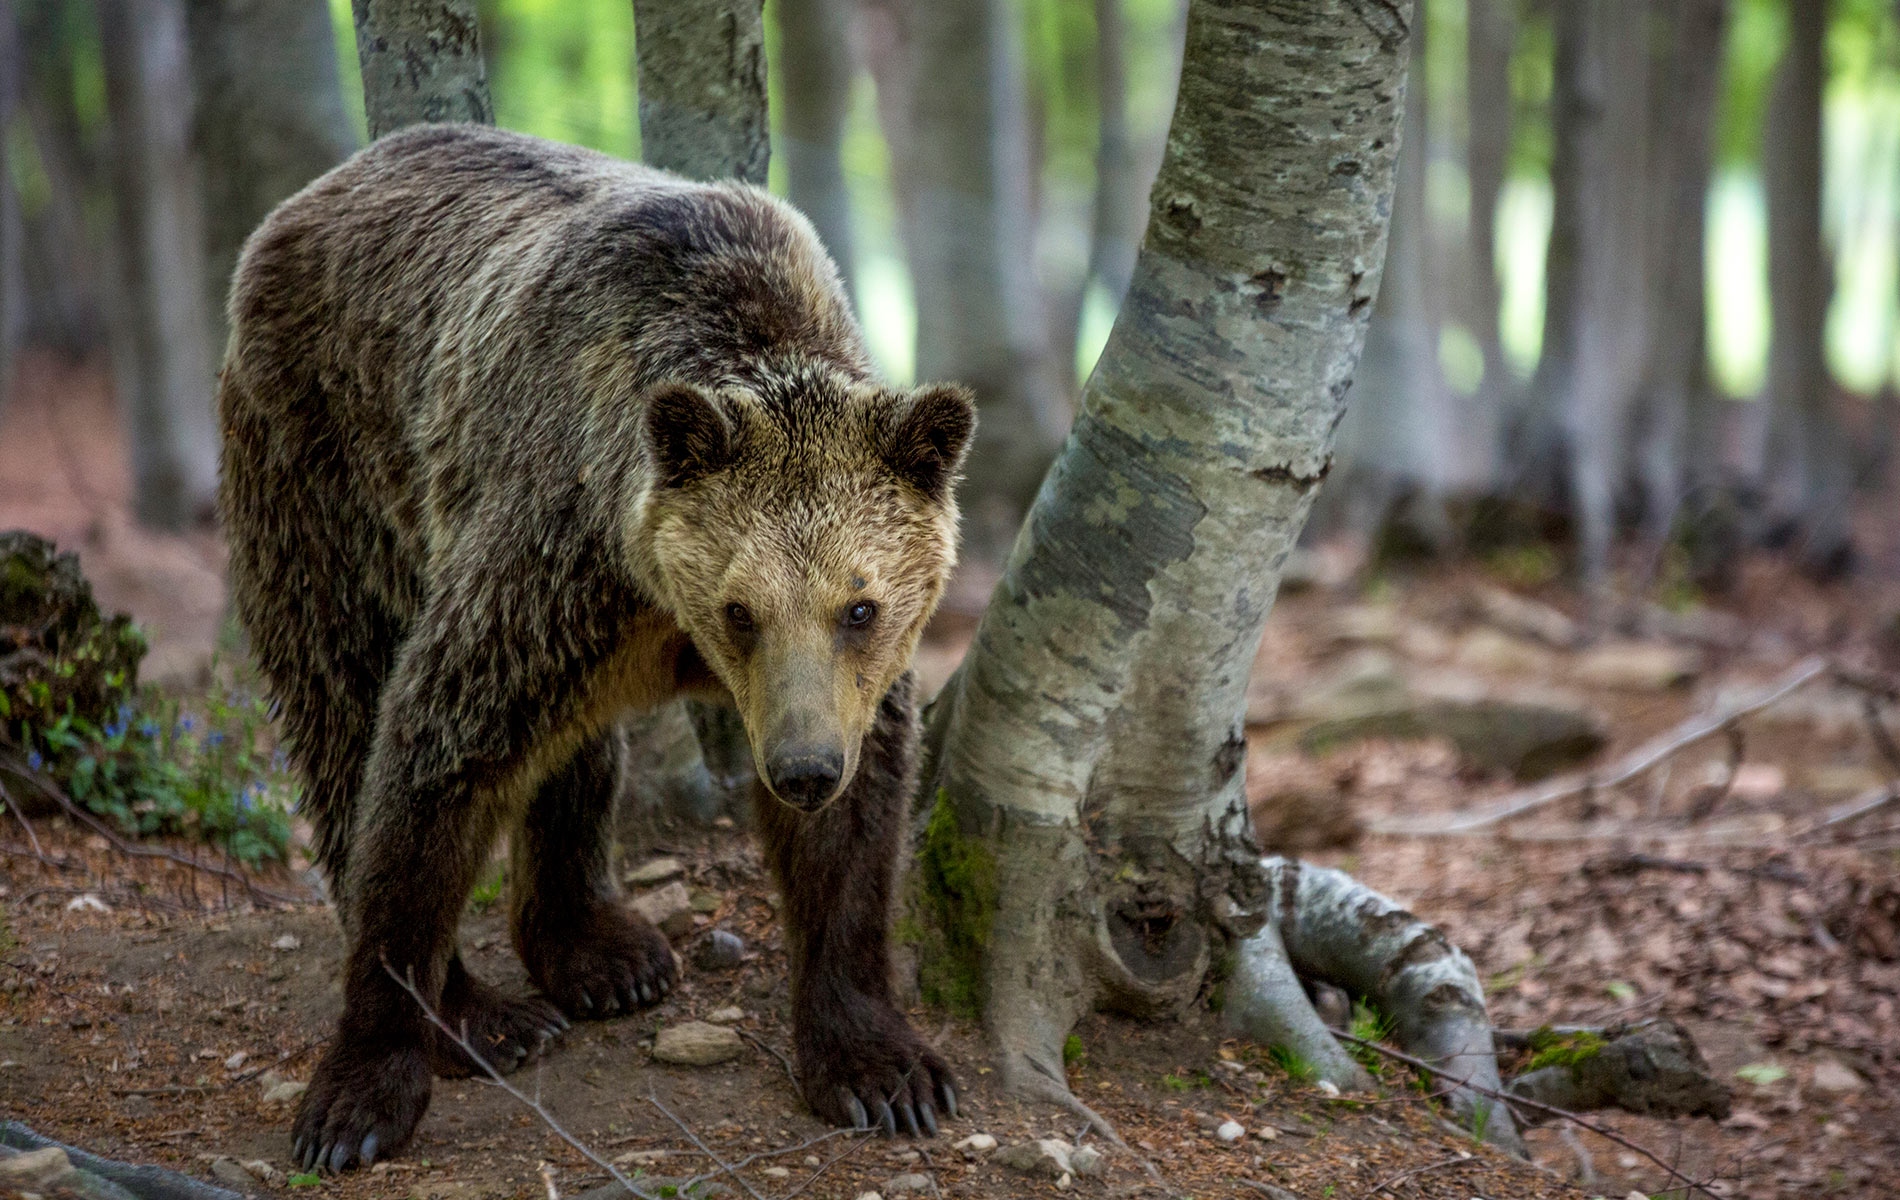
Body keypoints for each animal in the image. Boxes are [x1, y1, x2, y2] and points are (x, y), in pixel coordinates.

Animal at [215, 121, 972, 1169]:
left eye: (858, 608)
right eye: (741, 609)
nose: (803, 769)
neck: (662, 606)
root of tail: (309, 196)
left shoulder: (841, 685)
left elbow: (854, 840)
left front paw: (883, 1069)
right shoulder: (556, 554)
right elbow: (433, 755)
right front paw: (361, 1094)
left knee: (571, 753)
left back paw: (603, 953)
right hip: (325, 465)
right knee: (342, 702)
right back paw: (493, 1013)